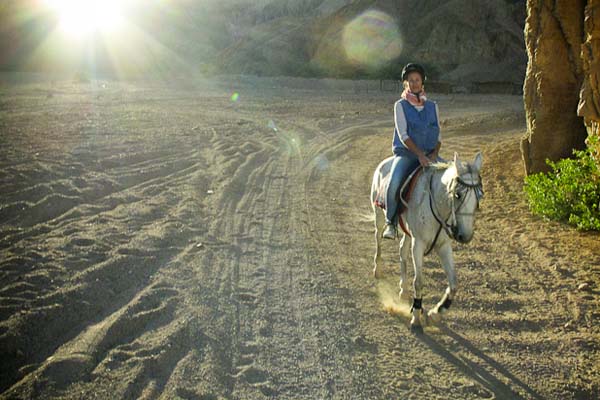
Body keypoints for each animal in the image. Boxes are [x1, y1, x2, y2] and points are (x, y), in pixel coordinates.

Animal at [370, 152, 482, 328]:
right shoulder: (418, 244)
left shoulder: (443, 246)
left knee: (402, 251)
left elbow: (454, 284)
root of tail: (385, 162)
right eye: (458, 195)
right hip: (379, 216)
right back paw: (378, 270)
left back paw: (403, 290)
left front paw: (435, 313)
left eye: (479, 195)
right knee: (378, 241)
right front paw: (416, 316)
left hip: (407, 232)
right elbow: (419, 281)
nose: (465, 236)